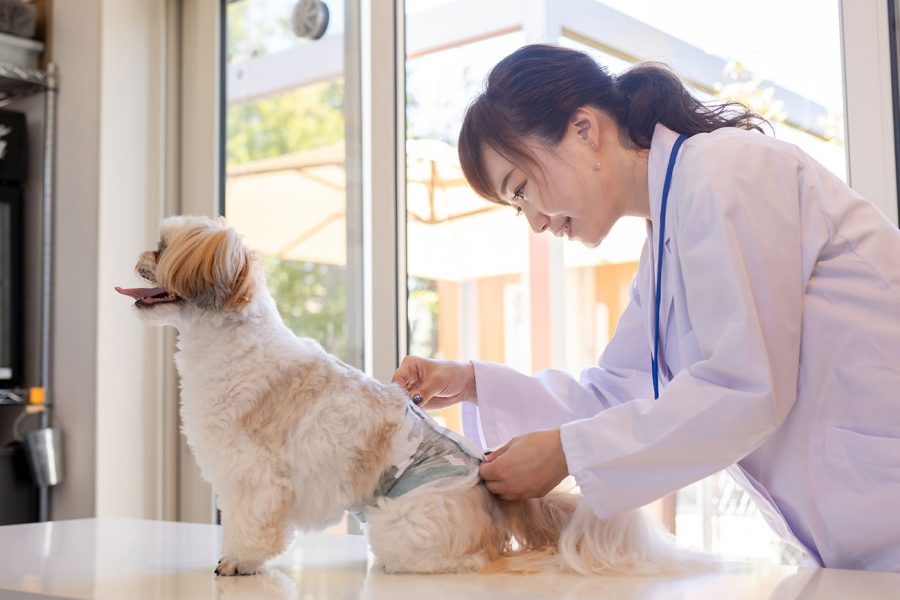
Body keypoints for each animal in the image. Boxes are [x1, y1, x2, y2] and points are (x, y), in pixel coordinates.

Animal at [116, 216, 708, 576]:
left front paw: (238, 562)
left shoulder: (255, 478)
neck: (229, 345)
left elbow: (251, 525)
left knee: (467, 556)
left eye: (162, 250)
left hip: (400, 524)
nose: (138, 254)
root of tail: (489, 491)